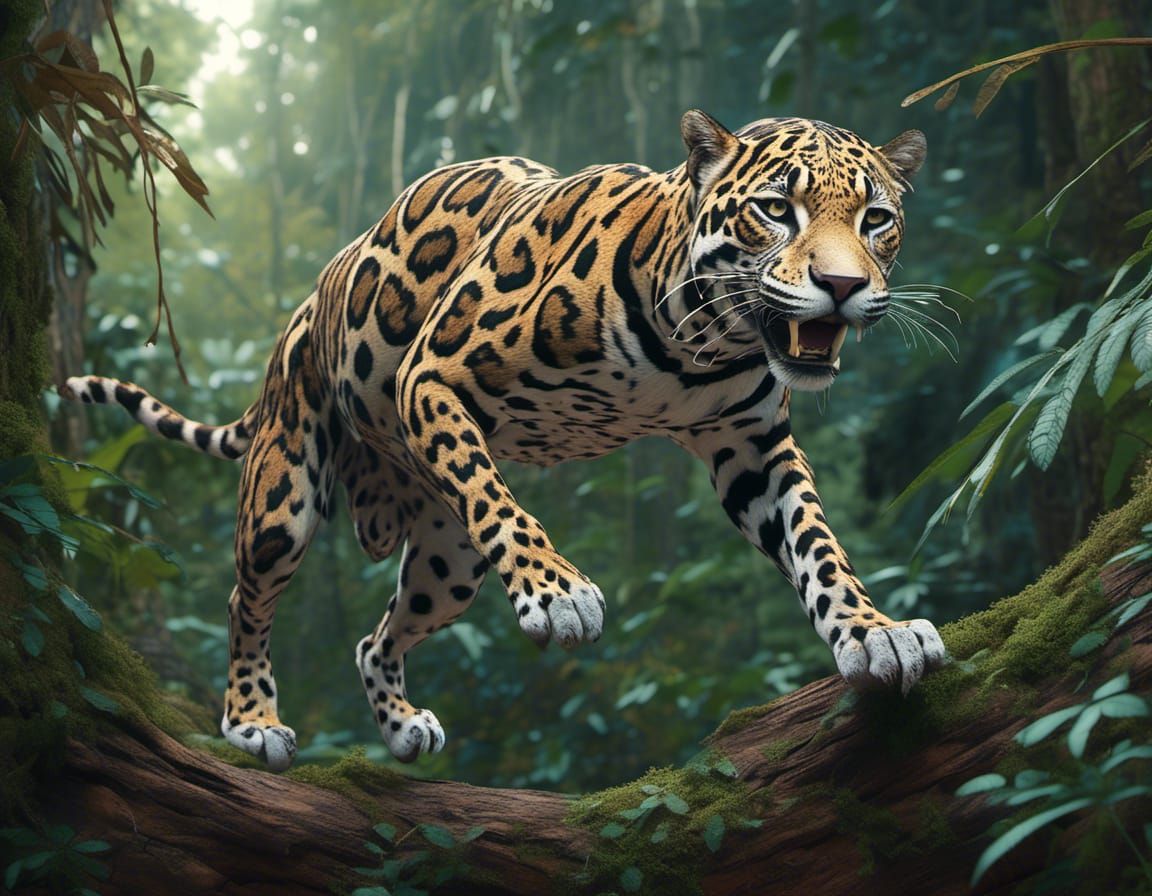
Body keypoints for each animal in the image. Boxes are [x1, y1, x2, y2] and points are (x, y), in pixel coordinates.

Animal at [61, 111, 947, 771]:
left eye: (876, 219)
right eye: (774, 210)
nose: (843, 286)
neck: (699, 344)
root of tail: (307, 303)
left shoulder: (753, 449)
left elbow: (816, 543)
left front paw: (875, 633)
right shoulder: (432, 374)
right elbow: (498, 496)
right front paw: (557, 592)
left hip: (449, 563)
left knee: (374, 636)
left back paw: (401, 724)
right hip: (284, 492)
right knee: (247, 597)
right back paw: (251, 719)